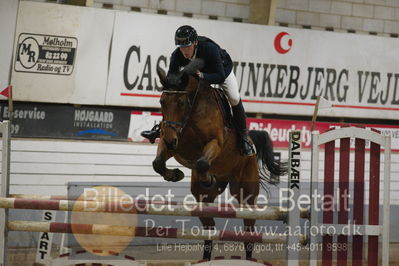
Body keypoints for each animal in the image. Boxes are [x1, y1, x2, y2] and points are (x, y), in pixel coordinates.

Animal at [152, 59, 286, 260]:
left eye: (181, 102)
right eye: (162, 101)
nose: (170, 140)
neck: (192, 113)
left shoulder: (214, 143)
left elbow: (202, 163)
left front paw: (207, 177)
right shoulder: (172, 142)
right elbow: (158, 163)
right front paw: (174, 174)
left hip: (246, 193)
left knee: (249, 229)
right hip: (203, 198)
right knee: (209, 229)